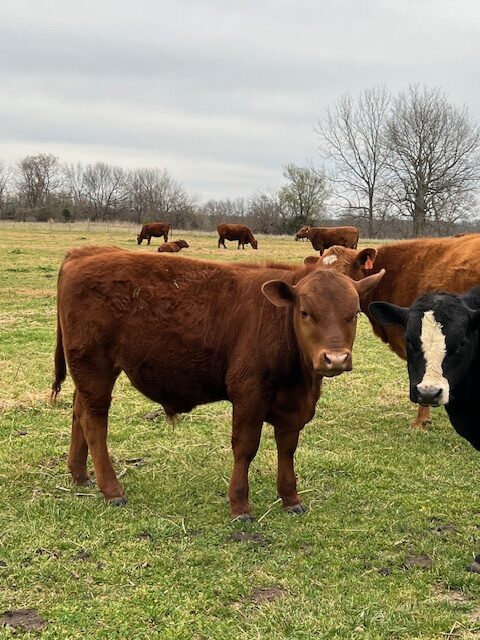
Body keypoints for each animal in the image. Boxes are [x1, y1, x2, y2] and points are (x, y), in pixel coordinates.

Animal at [51, 246, 384, 520]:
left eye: (353, 314)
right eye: (305, 312)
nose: (335, 359)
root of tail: (85, 253)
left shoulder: (293, 405)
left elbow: (287, 448)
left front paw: (291, 499)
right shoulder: (248, 393)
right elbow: (245, 447)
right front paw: (240, 505)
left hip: (88, 374)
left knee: (78, 412)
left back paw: (80, 475)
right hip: (95, 368)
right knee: (94, 422)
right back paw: (112, 490)